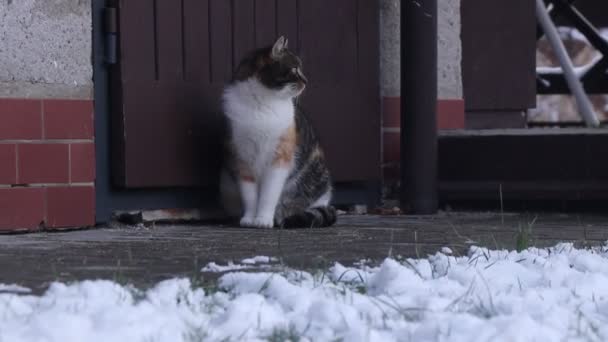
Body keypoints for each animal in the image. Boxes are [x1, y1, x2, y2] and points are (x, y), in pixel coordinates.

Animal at [220, 36, 338, 228]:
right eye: (294, 68)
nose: (306, 81)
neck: (263, 104)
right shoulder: (242, 158)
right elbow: (250, 195)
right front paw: (249, 218)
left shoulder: (280, 158)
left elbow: (269, 194)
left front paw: (263, 219)